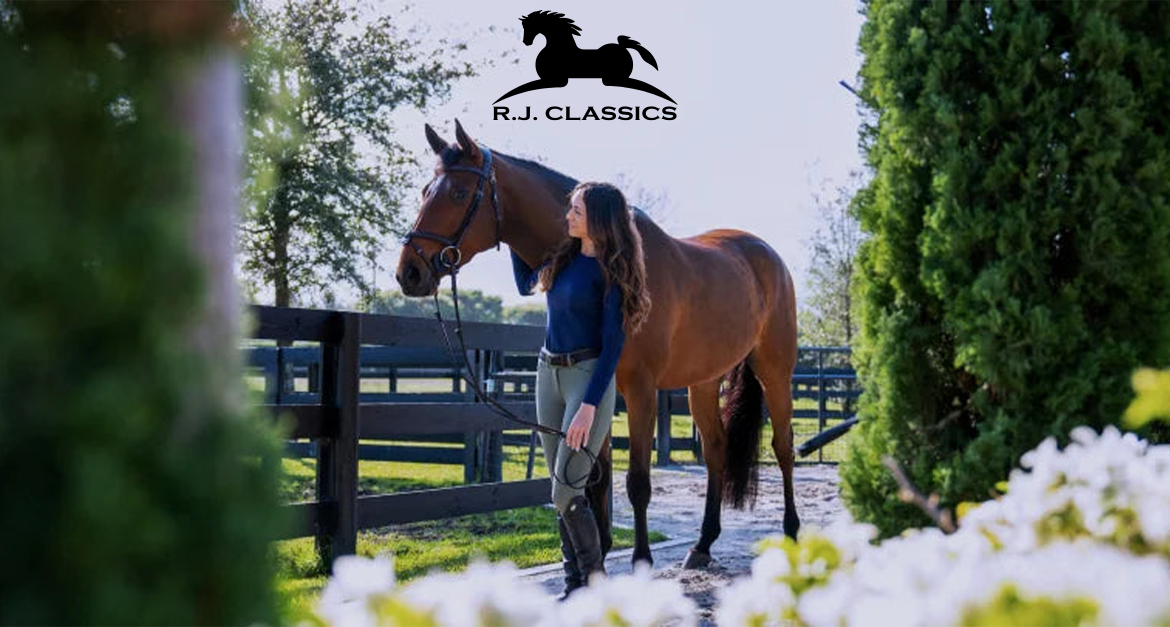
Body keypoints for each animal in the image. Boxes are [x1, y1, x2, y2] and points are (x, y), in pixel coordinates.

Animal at [396, 120, 800, 568]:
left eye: (458, 193)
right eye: (425, 191)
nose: (409, 272)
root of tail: (765, 254)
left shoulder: (640, 390)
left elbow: (637, 481)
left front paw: (640, 559)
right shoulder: (598, 393)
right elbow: (595, 477)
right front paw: (602, 554)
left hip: (774, 372)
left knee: (784, 447)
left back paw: (791, 533)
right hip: (704, 381)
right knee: (715, 449)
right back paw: (702, 545)